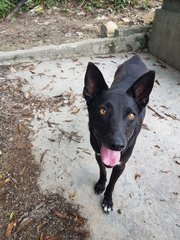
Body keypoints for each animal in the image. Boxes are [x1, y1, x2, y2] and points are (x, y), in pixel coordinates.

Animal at [83, 55, 155, 214]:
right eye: (103, 111)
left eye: (131, 115)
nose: (117, 145)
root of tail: (136, 57)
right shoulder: (98, 155)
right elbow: (103, 171)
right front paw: (100, 184)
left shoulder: (121, 165)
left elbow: (112, 183)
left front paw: (107, 201)